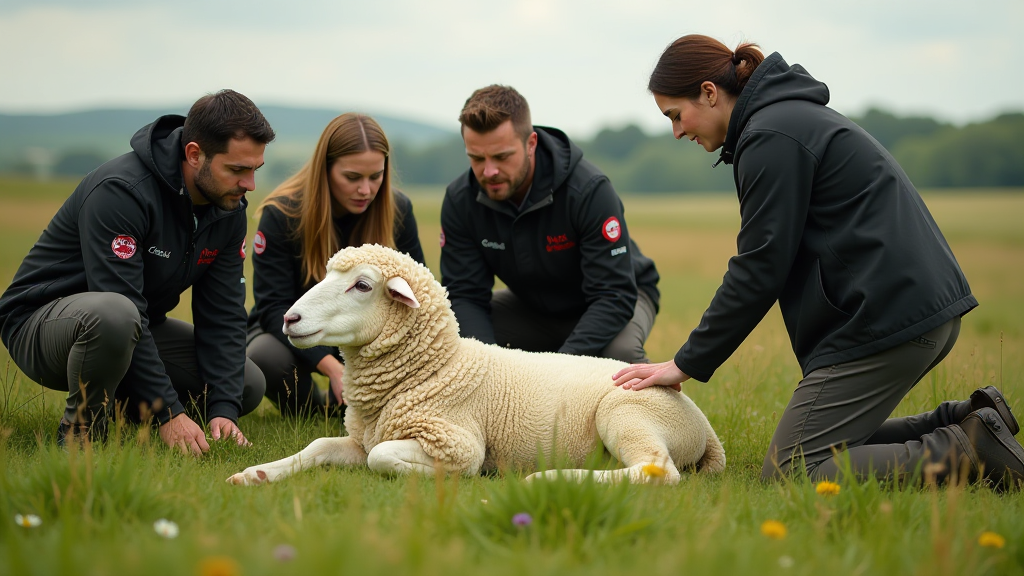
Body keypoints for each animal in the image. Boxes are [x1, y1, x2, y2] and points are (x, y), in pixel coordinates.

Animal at [230, 242, 729, 483]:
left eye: (363, 285)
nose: (290, 318)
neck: (436, 369)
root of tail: (705, 428)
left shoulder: (457, 440)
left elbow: (381, 457)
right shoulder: (361, 435)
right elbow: (318, 447)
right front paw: (257, 474)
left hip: (628, 414)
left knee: (658, 472)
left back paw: (550, 479)